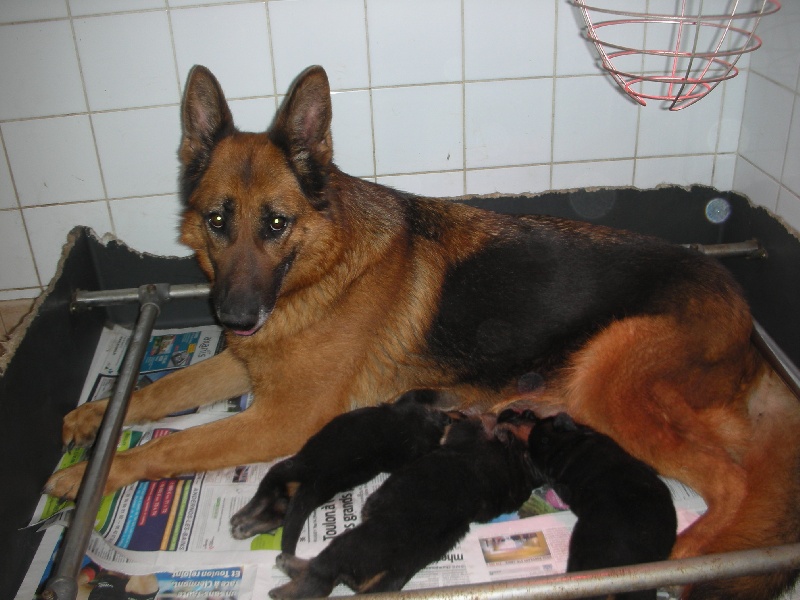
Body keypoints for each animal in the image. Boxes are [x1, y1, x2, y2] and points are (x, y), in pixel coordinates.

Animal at [229, 391, 452, 553]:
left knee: (267, 498)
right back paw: (243, 524)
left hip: (289, 470)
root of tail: (315, 481)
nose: (448, 418)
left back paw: (241, 521)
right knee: (274, 507)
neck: (422, 427)